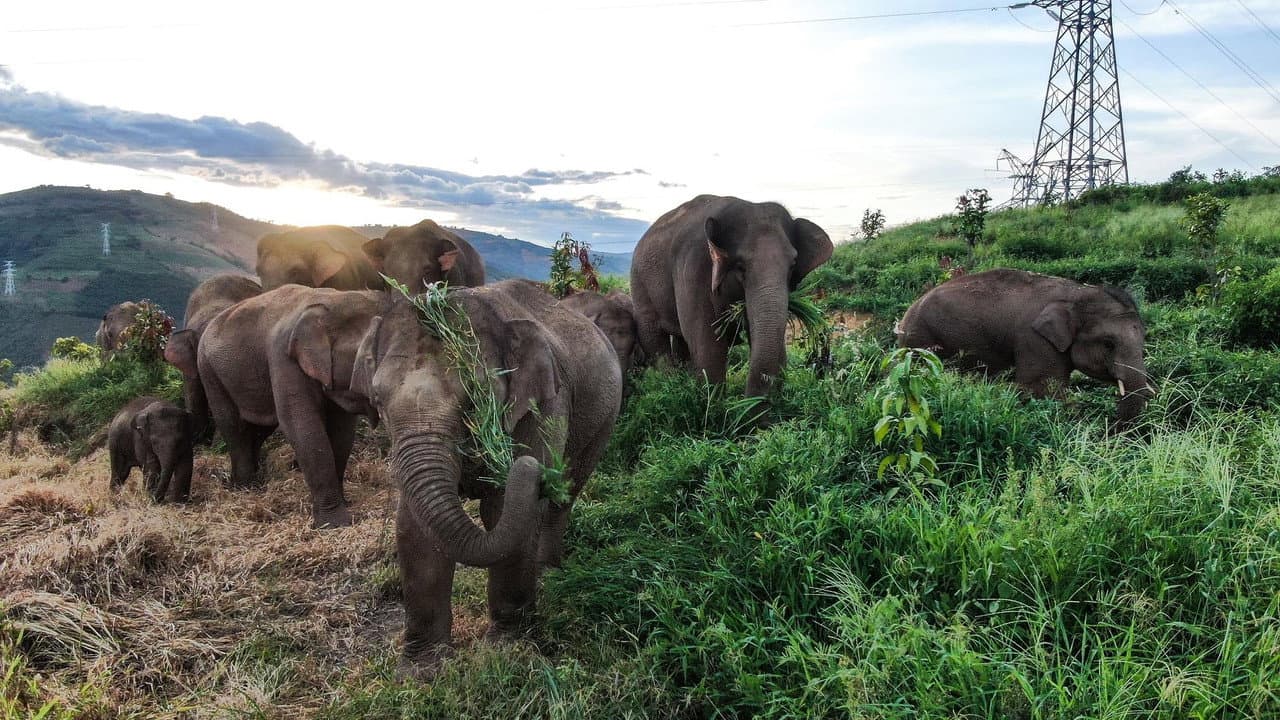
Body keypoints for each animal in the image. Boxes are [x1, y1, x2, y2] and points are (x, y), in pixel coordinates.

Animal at [197, 285, 381, 527]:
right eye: (369, 358)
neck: (333, 301)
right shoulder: (283, 357)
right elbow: (300, 423)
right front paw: (334, 524)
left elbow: (342, 430)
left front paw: (343, 506)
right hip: (208, 369)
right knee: (232, 424)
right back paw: (246, 487)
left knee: (260, 426)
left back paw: (253, 479)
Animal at [351, 279, 621, 673]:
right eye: (377, 399)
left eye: (473, 400)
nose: (537, 471)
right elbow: (414, 526)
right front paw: (421, 669)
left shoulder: (545, 403)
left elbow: (504, 510)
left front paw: (508, 649)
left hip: (604, 419)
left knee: (564, 498)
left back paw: (547, 573)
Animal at [630, 195, 833, 398]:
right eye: (740, 266)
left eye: (792, 265)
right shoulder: (691, 268)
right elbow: (708, 347)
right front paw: (714, 404)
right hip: (639, 285)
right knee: (656, 341)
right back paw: (670, 386)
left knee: (681, 342)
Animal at [895, 268, 1155, 425]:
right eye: (1109, 343)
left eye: (1144, 338)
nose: (1109, 429)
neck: (1078, 293)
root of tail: (904, 316)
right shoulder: (1035, 340)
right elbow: (1042, 389)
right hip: (920, 343)